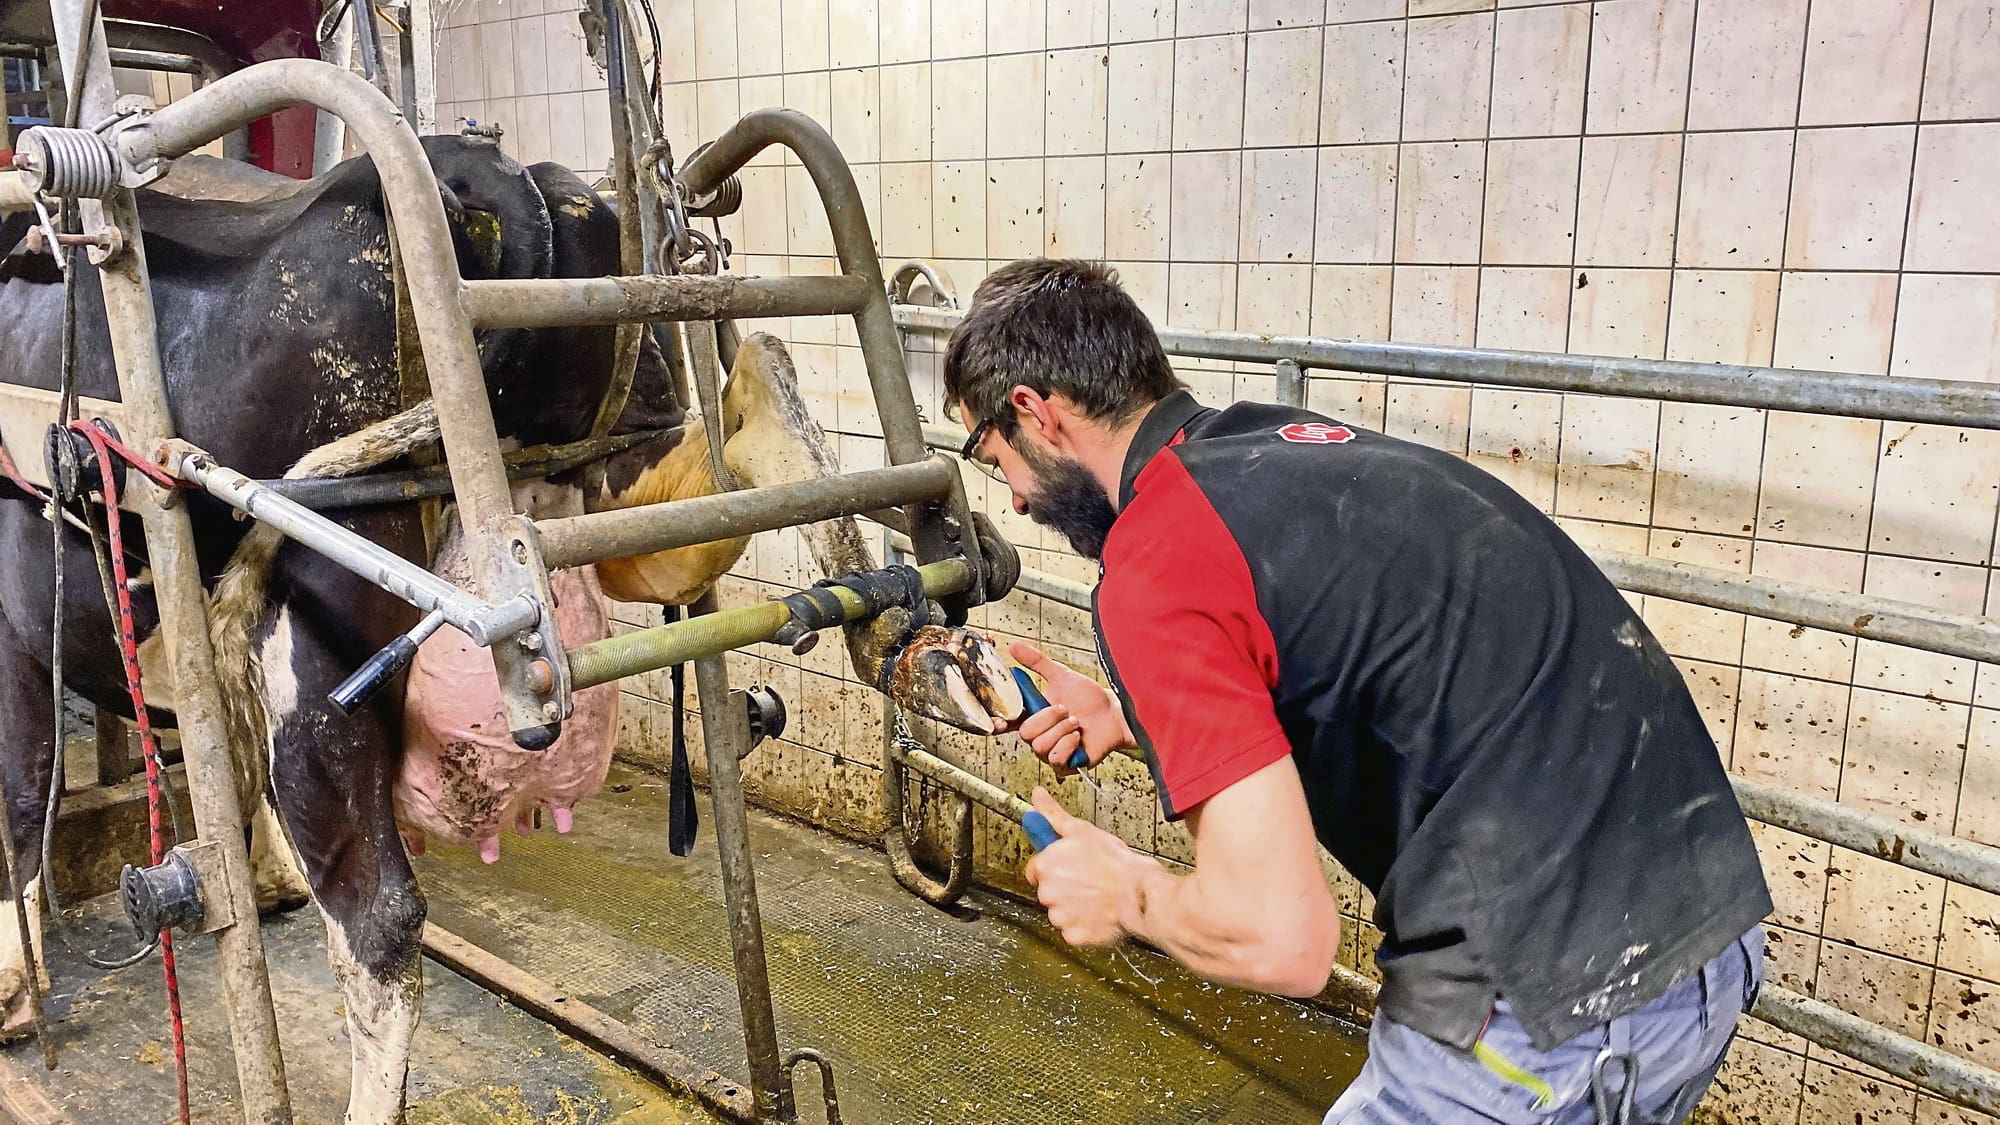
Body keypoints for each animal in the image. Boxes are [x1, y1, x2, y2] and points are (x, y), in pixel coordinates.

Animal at [0, 136, 1016, 1112]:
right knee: (748, 402)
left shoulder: (18, 634)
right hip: (614, 451)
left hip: (316, 629)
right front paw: (267, 880)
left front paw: (17, 997)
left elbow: (23, 797)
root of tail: (485, 171)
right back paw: (921, 643)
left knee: (379, 923)